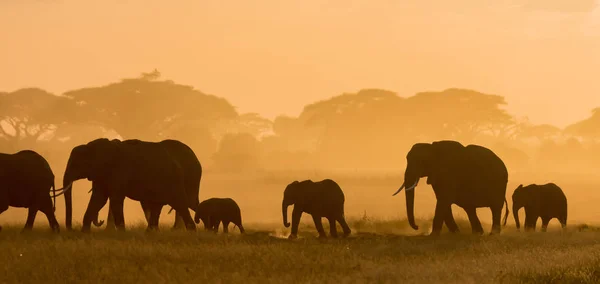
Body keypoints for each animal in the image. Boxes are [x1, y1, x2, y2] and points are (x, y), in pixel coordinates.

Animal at [62, 138, 196, 233]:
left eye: (75, 164)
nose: (71, 229)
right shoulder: (101, 175)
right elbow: (98, 199)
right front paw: (84, 232)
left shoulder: (119, 171)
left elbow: (115, 199)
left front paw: (122, 232)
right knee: (161, 205)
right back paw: (150, 232)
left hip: (173, 180)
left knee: (181, 203)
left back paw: (191, 230)